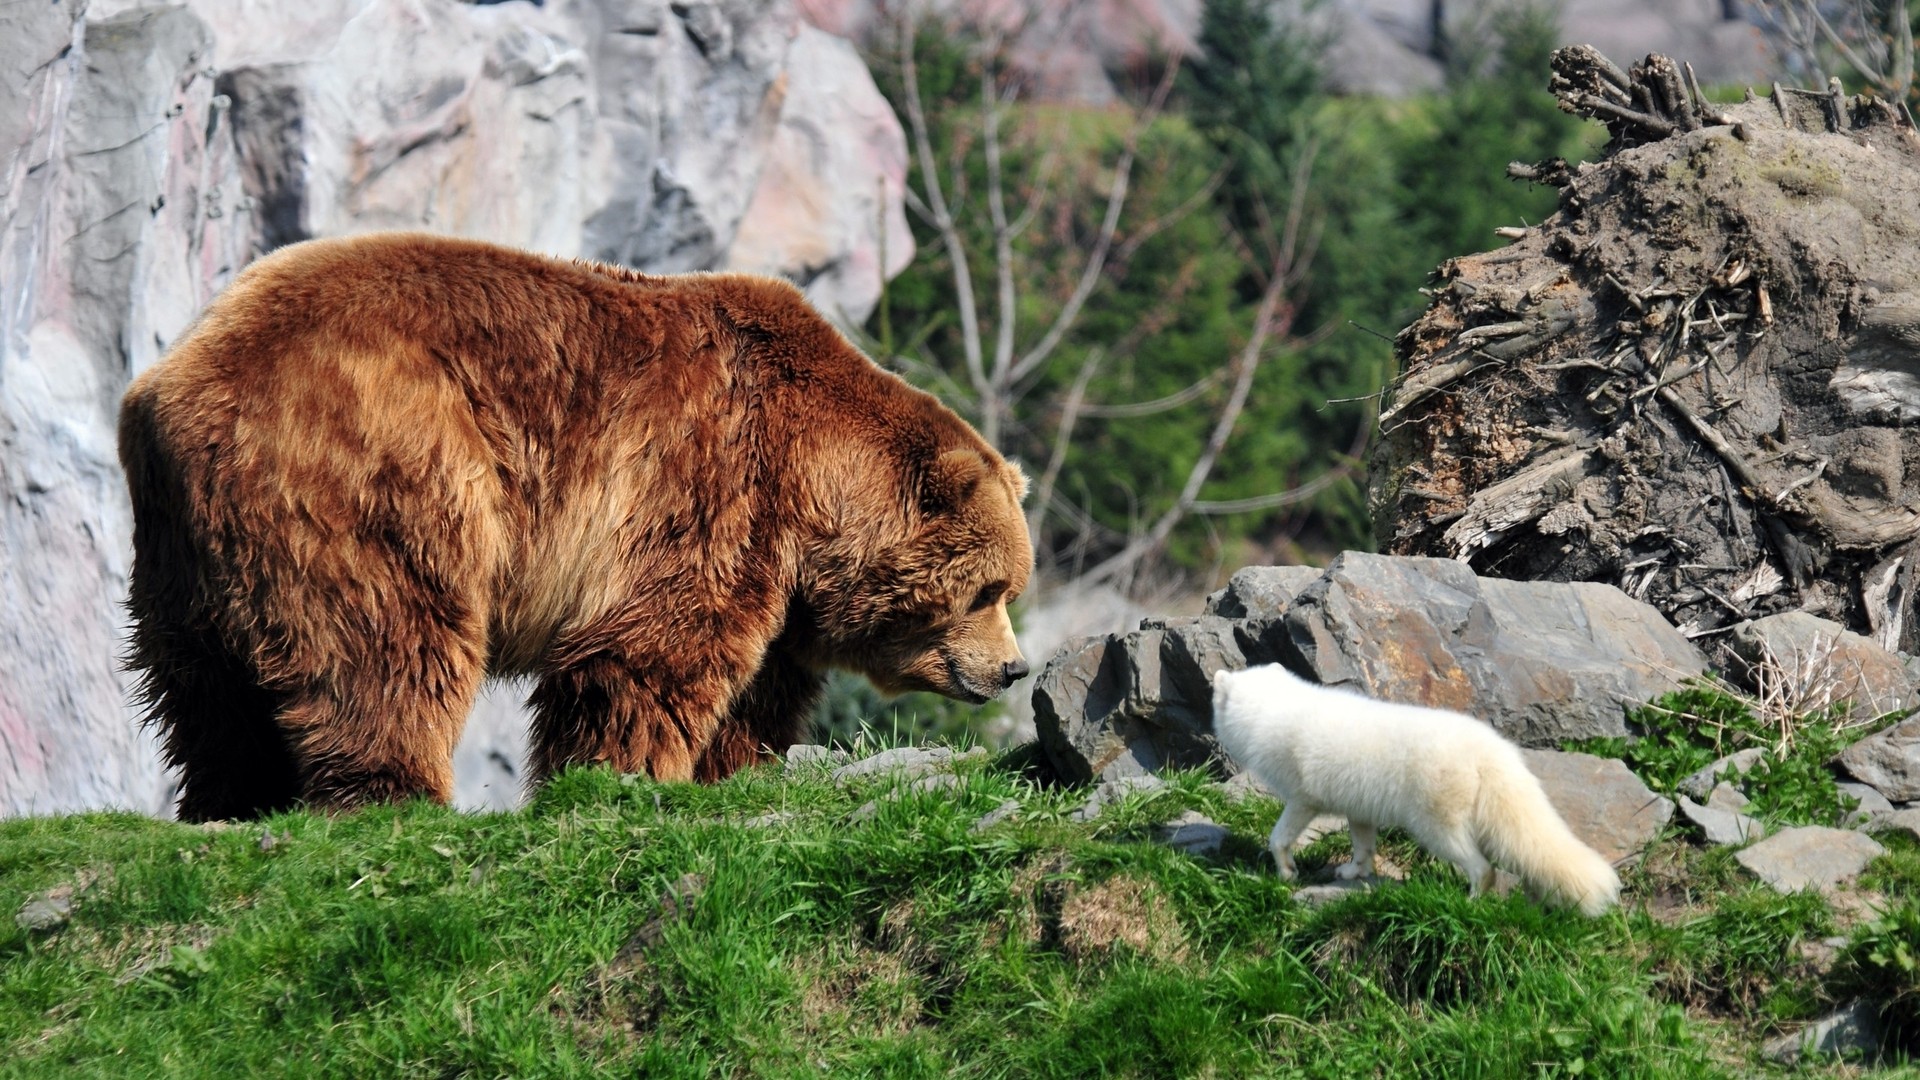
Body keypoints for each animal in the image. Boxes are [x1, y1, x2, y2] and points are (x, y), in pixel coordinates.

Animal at [118, 232, 1033, 821]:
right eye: (988, 590)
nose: (1014, 669)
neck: (814, 484)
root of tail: (175, 381)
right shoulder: (712, 481)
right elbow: (649, 650)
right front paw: (622, 775)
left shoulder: (779, 581)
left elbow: (757, 692)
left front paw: (732, 768)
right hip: (380, 461)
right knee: (388, 637)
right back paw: (394, 791)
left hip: (182, 549)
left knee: (203, 689)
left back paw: (230, 799)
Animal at [1211, 664, 1621, 916]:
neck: (1272, 711)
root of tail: (1491, 751)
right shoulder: (1359, 807)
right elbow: (1364, 844)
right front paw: (1353, 873)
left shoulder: (1302, 798)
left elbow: (1278, 836)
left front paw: (1286, 872)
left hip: (1434, 823)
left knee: (1481, 867)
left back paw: (1471, 902)